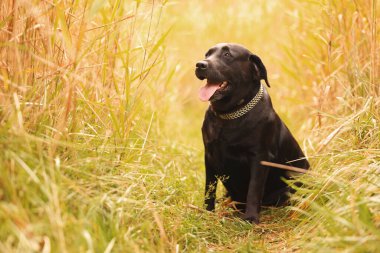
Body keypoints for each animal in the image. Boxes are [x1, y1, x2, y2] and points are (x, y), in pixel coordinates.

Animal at [196, 43, 308, 223]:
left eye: (227, 55)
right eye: (207, 54)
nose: (200, 64)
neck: (229, 115)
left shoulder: (259, 157)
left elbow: (254, 189)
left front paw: (251, 217)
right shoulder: (210, 155)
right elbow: (209, 188)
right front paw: (207, 212)